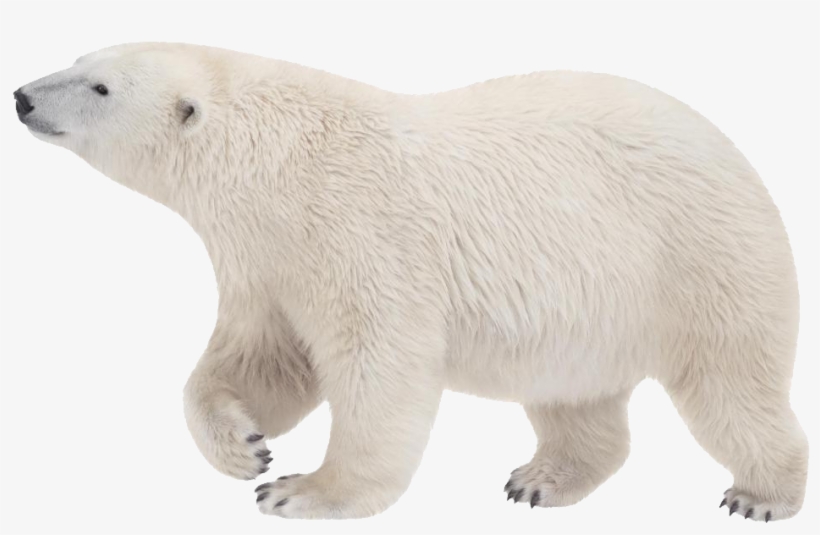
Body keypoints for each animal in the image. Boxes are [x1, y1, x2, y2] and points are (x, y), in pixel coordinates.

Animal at [14, 42, 807, 521]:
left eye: (99, 86)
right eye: (82, 57)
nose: (21, 95)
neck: (274, 160)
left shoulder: (356, 231)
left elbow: (378, 364)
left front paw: (301, 490)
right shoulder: (265, 257)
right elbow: (264, 357)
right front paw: (244, 445)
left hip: (697, 258)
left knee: (730, 386)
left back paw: (762, 494)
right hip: (589, 311)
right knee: (573, 396)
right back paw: (540, 479)